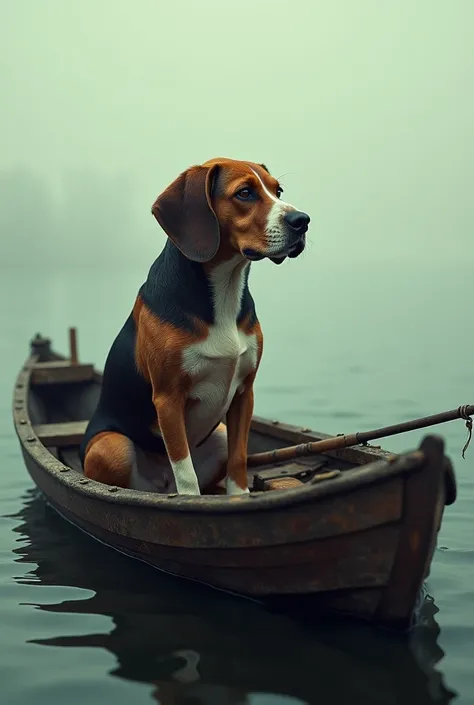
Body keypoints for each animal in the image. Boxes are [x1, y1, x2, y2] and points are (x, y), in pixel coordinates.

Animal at [80, 157, 312, 496]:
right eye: (245, 193)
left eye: (278, 190)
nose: (303, 220)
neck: (225, 290)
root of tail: (161, 485)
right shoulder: (168, 399)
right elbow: (185, 470)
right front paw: (191, 501)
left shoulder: (244, 393)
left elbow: (239, 458)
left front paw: (239, 497)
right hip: (112, 447)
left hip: (219, 435)